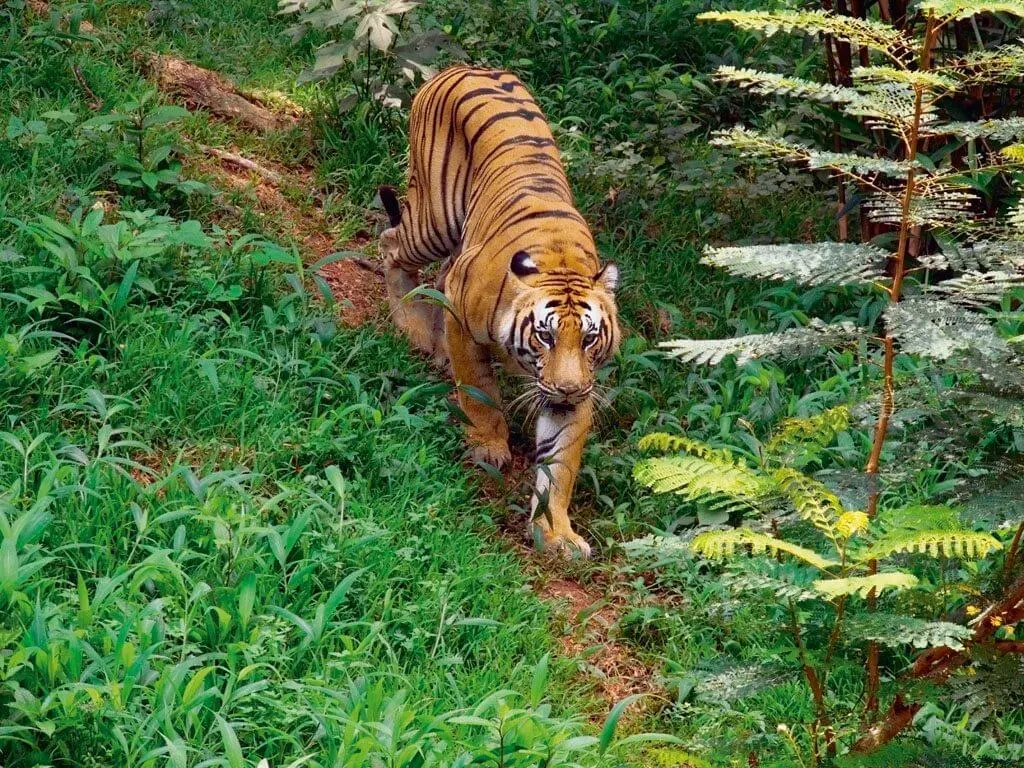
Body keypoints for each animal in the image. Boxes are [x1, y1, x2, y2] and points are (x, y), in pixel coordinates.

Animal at [376, 64, 614, 561]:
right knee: (392, 246)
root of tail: (461, 66)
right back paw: (414, 329)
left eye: (588, 338)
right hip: (435, 219)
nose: (566, 389)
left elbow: (560, 463)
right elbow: (479, 389)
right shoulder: (464, 323)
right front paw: (488, 446)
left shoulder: (580, 385)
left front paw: (556, 533)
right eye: (545, 335)